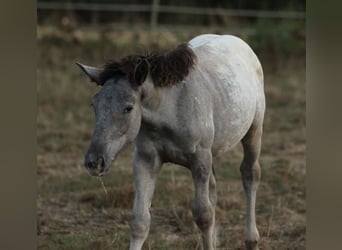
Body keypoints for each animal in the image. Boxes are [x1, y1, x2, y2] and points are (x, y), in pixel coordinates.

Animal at [77, 33, 264, 250]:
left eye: (128, 108)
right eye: (94, 104)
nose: (94, 162)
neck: (171, 108)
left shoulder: (200, 160)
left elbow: (203, 215)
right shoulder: (146, 160)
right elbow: (140, 220)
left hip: (253, 132)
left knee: (249, 174)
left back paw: (251, 239)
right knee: (214, 189)